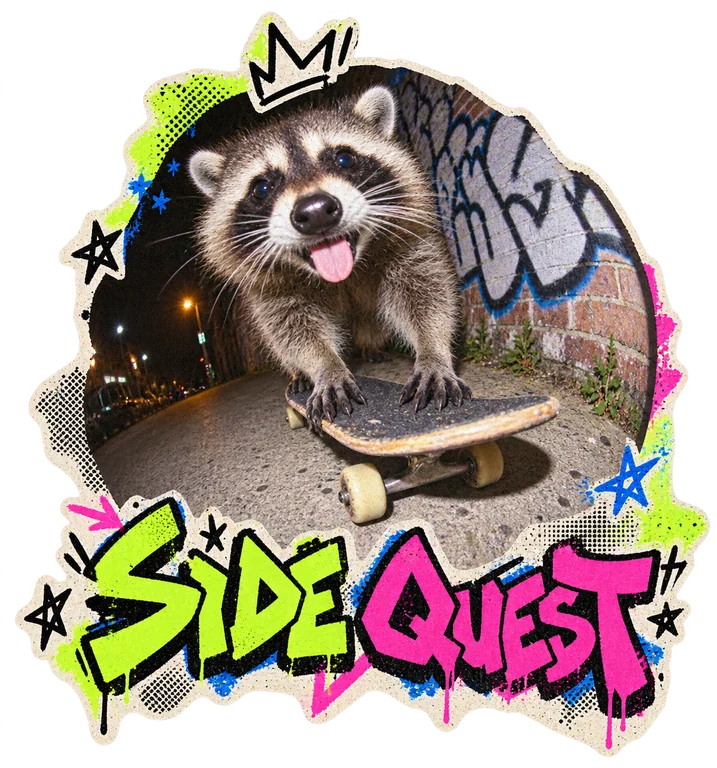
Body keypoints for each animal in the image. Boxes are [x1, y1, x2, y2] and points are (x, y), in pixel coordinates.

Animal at [189, 85, 471, 430]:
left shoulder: (409, 244)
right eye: (261, 188)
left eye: (344, 158)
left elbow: (426, 295)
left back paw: (370, 346)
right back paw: (299, 373)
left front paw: (432, 350)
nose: (315, 211)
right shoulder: (271, 290)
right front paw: (324, 365)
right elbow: (292, 329)